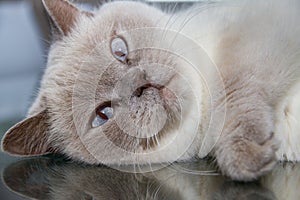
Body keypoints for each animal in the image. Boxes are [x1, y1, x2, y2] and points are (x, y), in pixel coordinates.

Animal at [0, 0, 300, 181]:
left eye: (119, 51)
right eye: (103, 114)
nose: (141, 85)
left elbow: (233, 92)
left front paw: (243, 154)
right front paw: (250, 159)